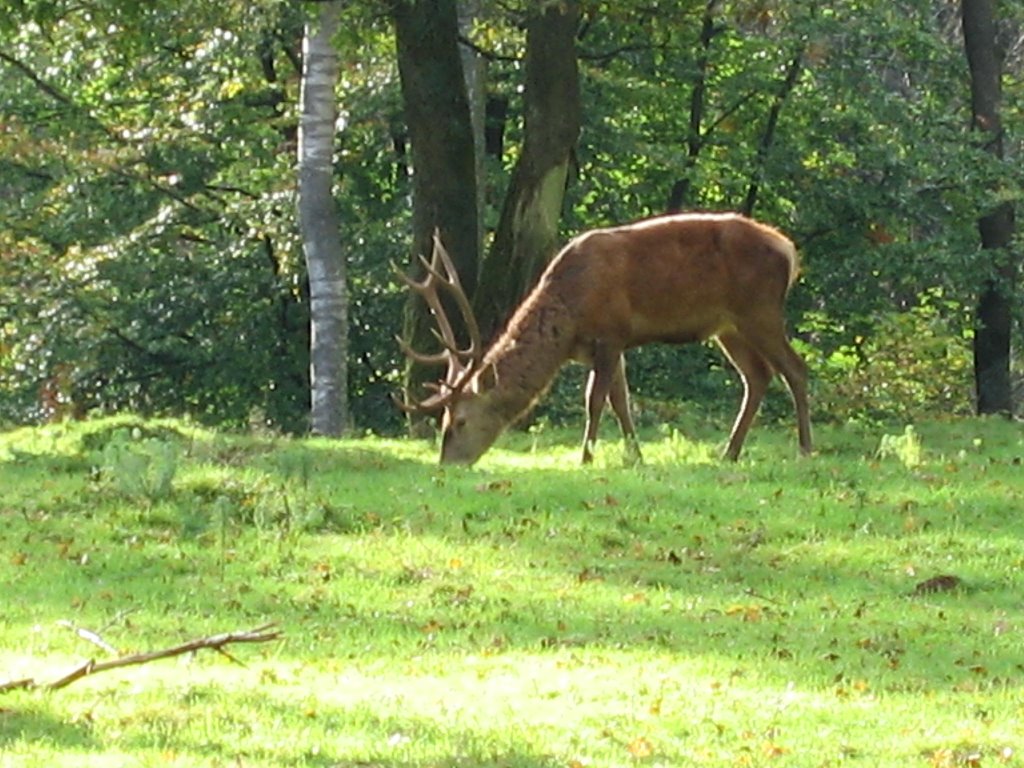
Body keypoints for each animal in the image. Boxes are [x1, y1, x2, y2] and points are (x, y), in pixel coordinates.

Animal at [395, 210, 811, 466]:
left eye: (460, 421)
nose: (448, 463)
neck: (568, 319)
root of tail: (789, 251)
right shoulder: (610, 344)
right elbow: (620, 400)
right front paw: (635, 455)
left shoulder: (611, 334)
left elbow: (595, 400)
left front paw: (587, 456)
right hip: (729, 326)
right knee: (758, 376)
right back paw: (730, 452)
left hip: (759, 309)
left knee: (796, 369)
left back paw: (805, 449)